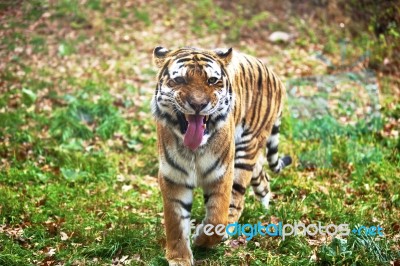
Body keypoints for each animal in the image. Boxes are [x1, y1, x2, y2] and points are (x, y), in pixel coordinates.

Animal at [152, 46, 292, 264]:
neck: (195, 149)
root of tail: (275, 76)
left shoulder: (222, 173)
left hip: (245, 151)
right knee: (263, 177)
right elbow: (175, 221)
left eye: (211, 80)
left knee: (237, 200)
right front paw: (179, 258)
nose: (198, 104)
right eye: (180, 80)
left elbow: (217, 217)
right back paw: (265, 208)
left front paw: (202, 240)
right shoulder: (173, 178)